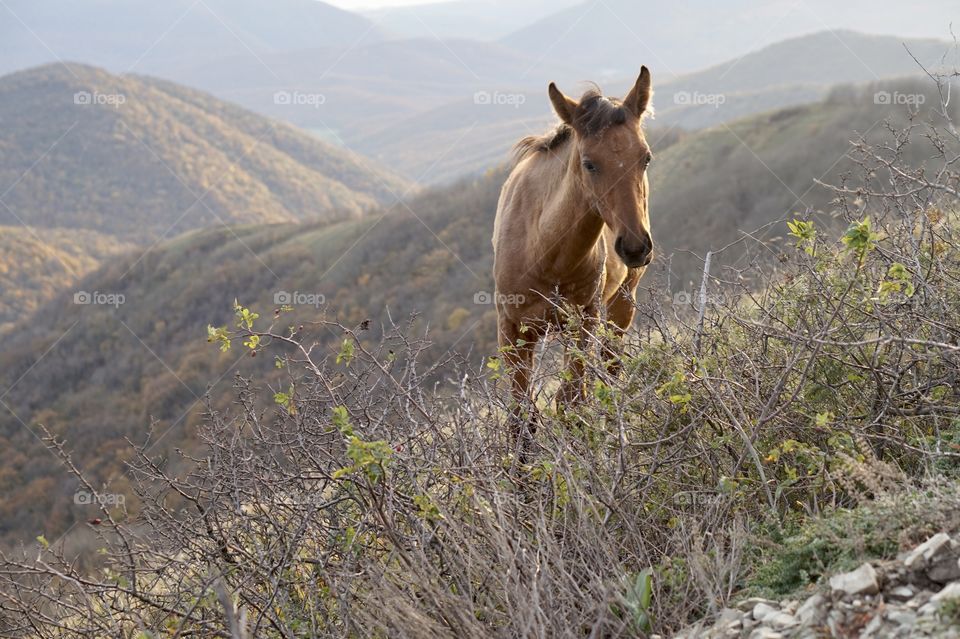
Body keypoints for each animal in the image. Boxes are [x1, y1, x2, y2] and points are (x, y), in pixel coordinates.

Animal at [492, 66, 656, 424]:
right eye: (588, 163)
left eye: (646, 158)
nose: (635, 247)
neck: (546, 256)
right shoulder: (512, 332)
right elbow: (521, 418)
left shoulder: (583, 323)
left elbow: (571, 402)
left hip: (622, 302)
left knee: (610, 370)